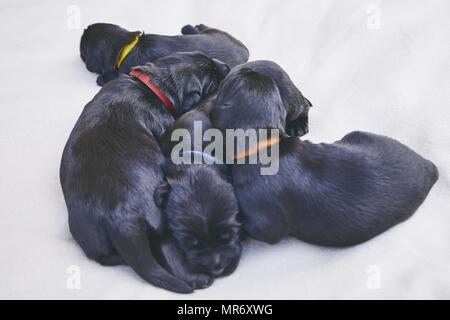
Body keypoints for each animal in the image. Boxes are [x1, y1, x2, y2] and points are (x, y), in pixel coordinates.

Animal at [59, 50, 229, 292]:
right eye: (213, 81)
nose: (226, 67)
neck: (152, 85)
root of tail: (120, 217)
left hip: (90, 238)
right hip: (158, 215)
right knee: (166, 245)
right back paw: (196, 278)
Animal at [81, 22, 250, 85]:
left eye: (83, 49)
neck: (126, 46)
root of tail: (246, 50)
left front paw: (102, 79)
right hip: (214, 32)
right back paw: (188, 27)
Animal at [211, 69, 440, 246]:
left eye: (230, 84)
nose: (246, 68)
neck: (264, 142)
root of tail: (430, 167)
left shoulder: (263, 221)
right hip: (360, 135)